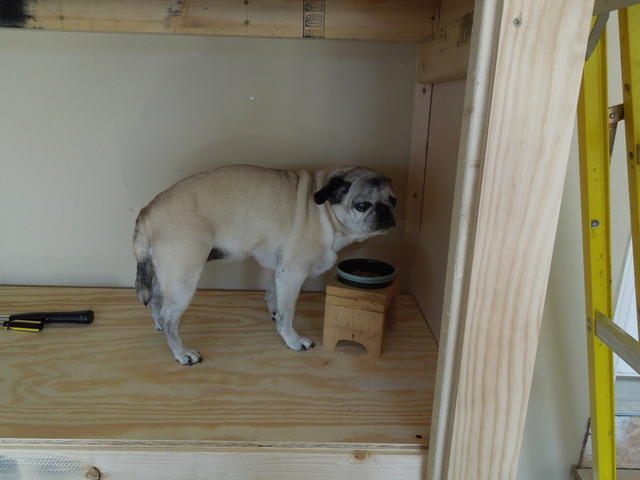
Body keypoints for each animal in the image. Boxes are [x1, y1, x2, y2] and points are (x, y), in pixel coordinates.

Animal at [133, 165, 396, 365]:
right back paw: (181, 353)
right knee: (170, 318)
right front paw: (292, 338)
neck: (324, 213)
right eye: (361, 206)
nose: (387, 211)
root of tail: (147, 211)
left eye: (393, 200)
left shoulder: (280, 271)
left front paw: (274, 313)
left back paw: (158, 326)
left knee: (156, 301)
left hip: (165, 273)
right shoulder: (292, 274)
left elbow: (274, 295)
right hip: (183, 278)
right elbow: (288, 313)